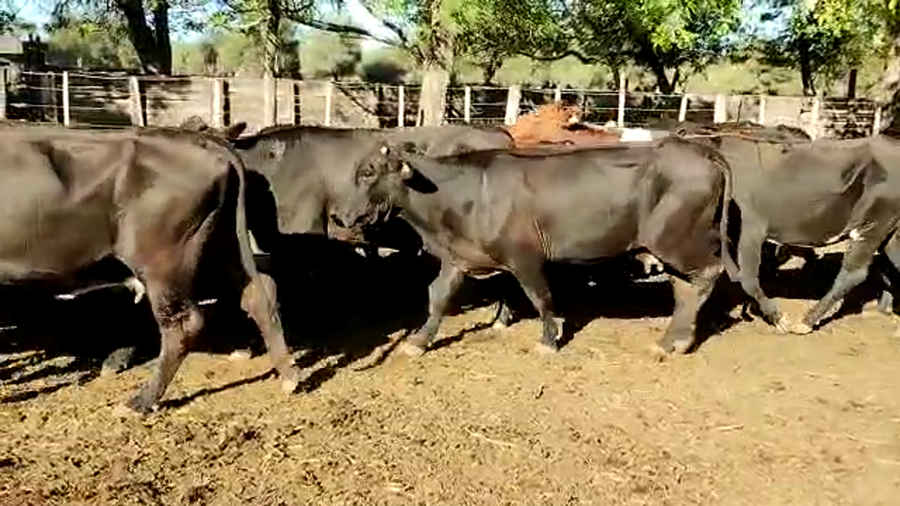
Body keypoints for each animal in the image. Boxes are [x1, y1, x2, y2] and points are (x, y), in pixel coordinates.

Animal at [0, 126, 300, 414]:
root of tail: (203, 139)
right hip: (221, 242)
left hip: (163, 259)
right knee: (259, 293)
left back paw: (140, 402)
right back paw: (289, 377)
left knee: (182, 324)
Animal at [329, 137, 735, 357]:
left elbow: (540, 297)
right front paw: (419, 341)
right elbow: (439, 296)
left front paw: (549, 340)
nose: (338, 215)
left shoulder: (525, 257)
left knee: (708, 274)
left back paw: (680, 339)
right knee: (684, 287)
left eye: (368, 172)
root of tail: (695, 148)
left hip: (675, 239)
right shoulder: (460, 256)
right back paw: (670, 341)